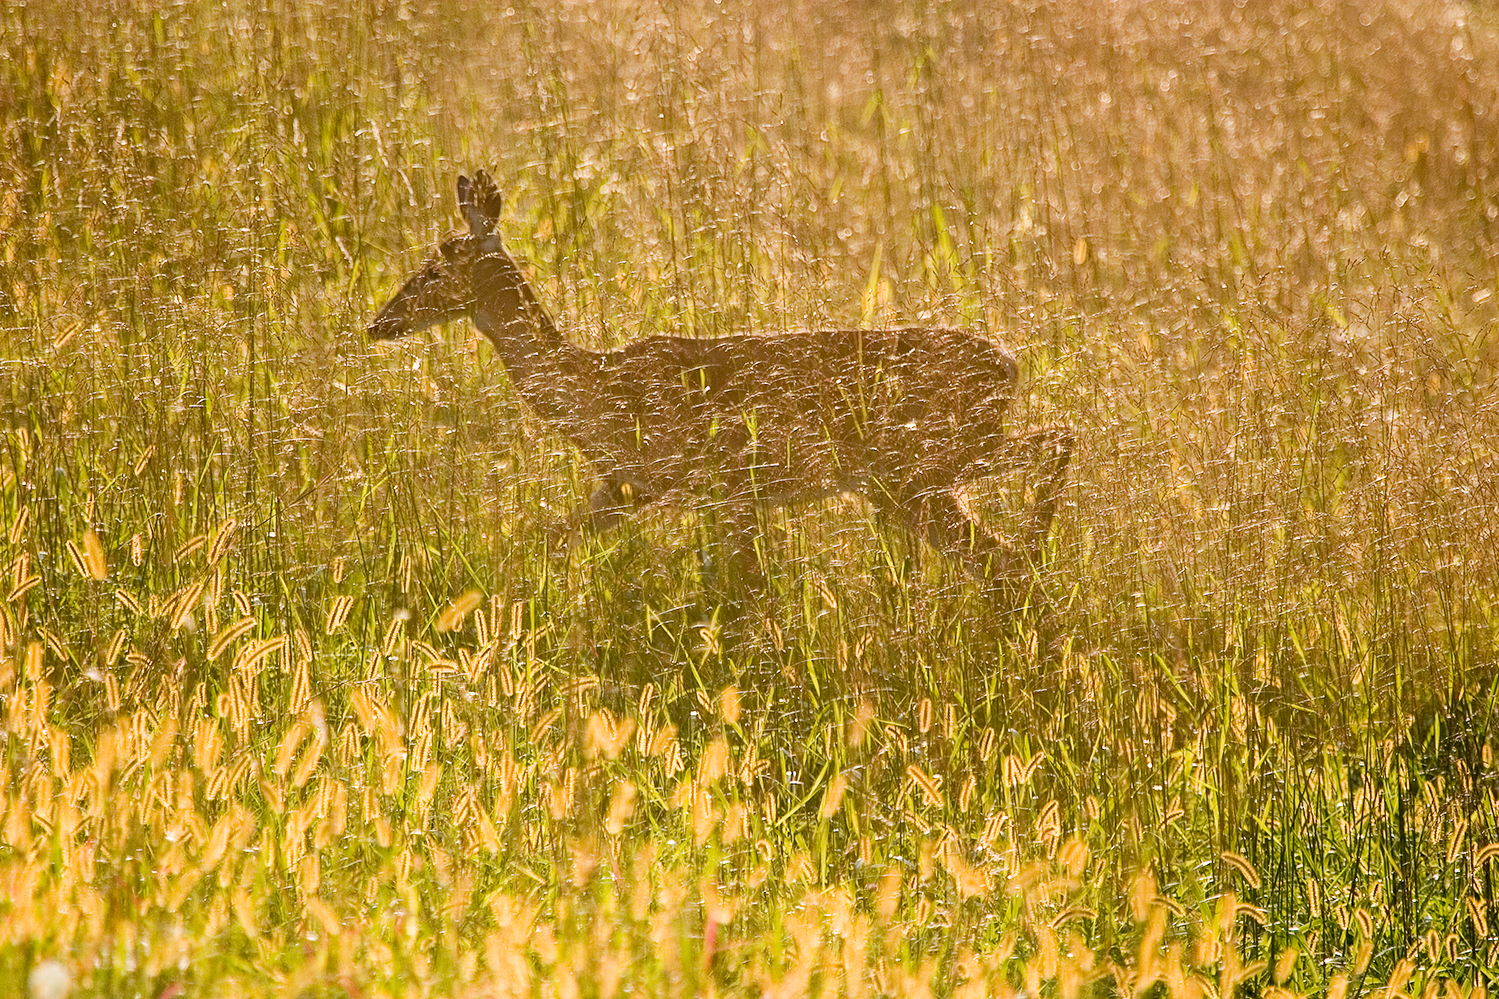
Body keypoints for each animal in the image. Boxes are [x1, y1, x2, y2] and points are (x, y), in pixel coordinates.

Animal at [368, 170, 1073, 591]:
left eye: (434, 268)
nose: (379, 322)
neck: (597, 388)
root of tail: (1010, 364)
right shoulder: (627, 489)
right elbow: (544, 539)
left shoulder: (725, 485)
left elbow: (740, 594)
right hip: (916, 474)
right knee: (1013, 525)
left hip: (916, 463)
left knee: (1044, 464)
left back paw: (1036, 554)